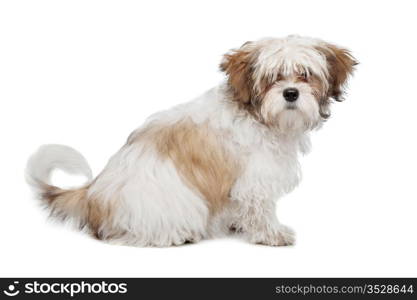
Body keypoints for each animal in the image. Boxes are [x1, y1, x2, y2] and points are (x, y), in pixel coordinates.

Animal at [26, 35, 358, 246]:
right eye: (272, 78)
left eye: (306, 75)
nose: (291, 93)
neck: (257, 115)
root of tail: (93, 195)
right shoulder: (256, 178)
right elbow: (260, 207)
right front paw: (271, 234)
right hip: (177, 205)